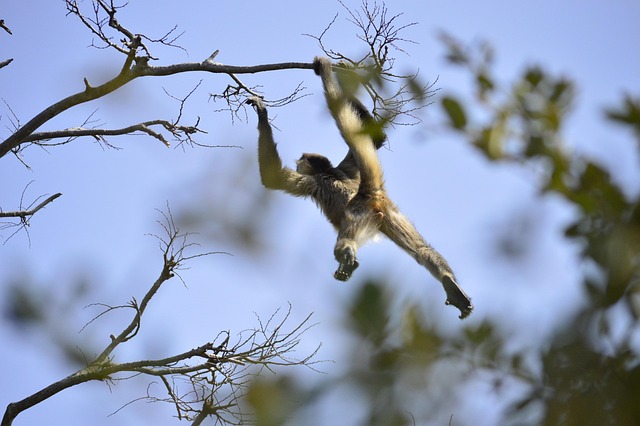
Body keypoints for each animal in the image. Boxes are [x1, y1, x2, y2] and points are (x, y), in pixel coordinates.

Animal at [246, 57, 473, 319]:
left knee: (343, 243)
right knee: (421, 250)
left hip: (357, 214)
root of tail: (367, 192)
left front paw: (262, 111)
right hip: (389, 214)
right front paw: (345, 69)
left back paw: (347, 259)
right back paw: (449, 282)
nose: (298, 163)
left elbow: (272, 178)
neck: (332, 172)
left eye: (301, 162)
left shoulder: (314, 182)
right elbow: (377, 137)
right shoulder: (347, 167)